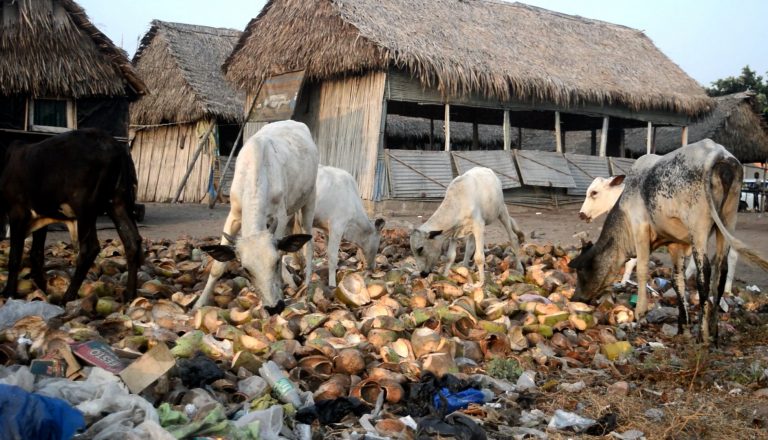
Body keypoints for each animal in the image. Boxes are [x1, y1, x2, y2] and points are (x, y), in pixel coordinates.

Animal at [0, 129, 143, 304]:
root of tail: (114, 146)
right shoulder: (41, 216)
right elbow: (36, 254)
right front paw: (43, 287)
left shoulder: (17, 212)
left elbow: (15, 257)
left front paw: (9, 292)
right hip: (117, 204)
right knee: (132, 242)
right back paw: (129, 294)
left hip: (85, 209)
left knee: (90, 248)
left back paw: (67, 297)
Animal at [198, 120, 320, 312]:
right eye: (246, 270)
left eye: (275, 263)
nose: (274, 307)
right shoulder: (234, 214)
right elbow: (217, 266)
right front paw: (200, 303)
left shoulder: (279, 215)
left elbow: (282, 250)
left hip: (309, 198)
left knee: (309, 243)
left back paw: (306, 283)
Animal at [568, 141, 768, 344]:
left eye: (580, 270)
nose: (575, 298)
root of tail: (718, 153)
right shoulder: (675, 244)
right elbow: (677, 280)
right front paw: (683, 326)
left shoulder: (640, 227)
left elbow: (641, 268)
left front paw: (640, 311)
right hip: (727, 220)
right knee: (721, 269)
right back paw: (714, 331)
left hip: (699, 229)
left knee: (704, 272)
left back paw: (703, 334)